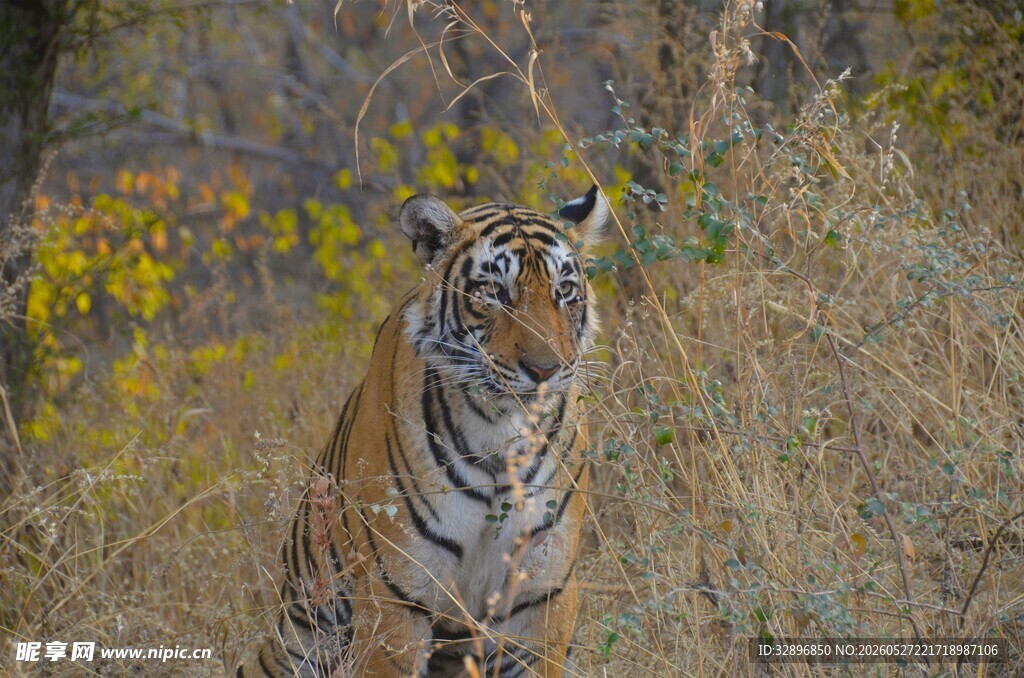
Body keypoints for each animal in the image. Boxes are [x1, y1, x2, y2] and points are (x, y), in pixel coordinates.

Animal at [237, 185, 608, 677]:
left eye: (564, 292)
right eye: (494, 292)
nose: (546, 370)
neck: (500, 432)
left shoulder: (542, 589)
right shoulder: (397, 592)